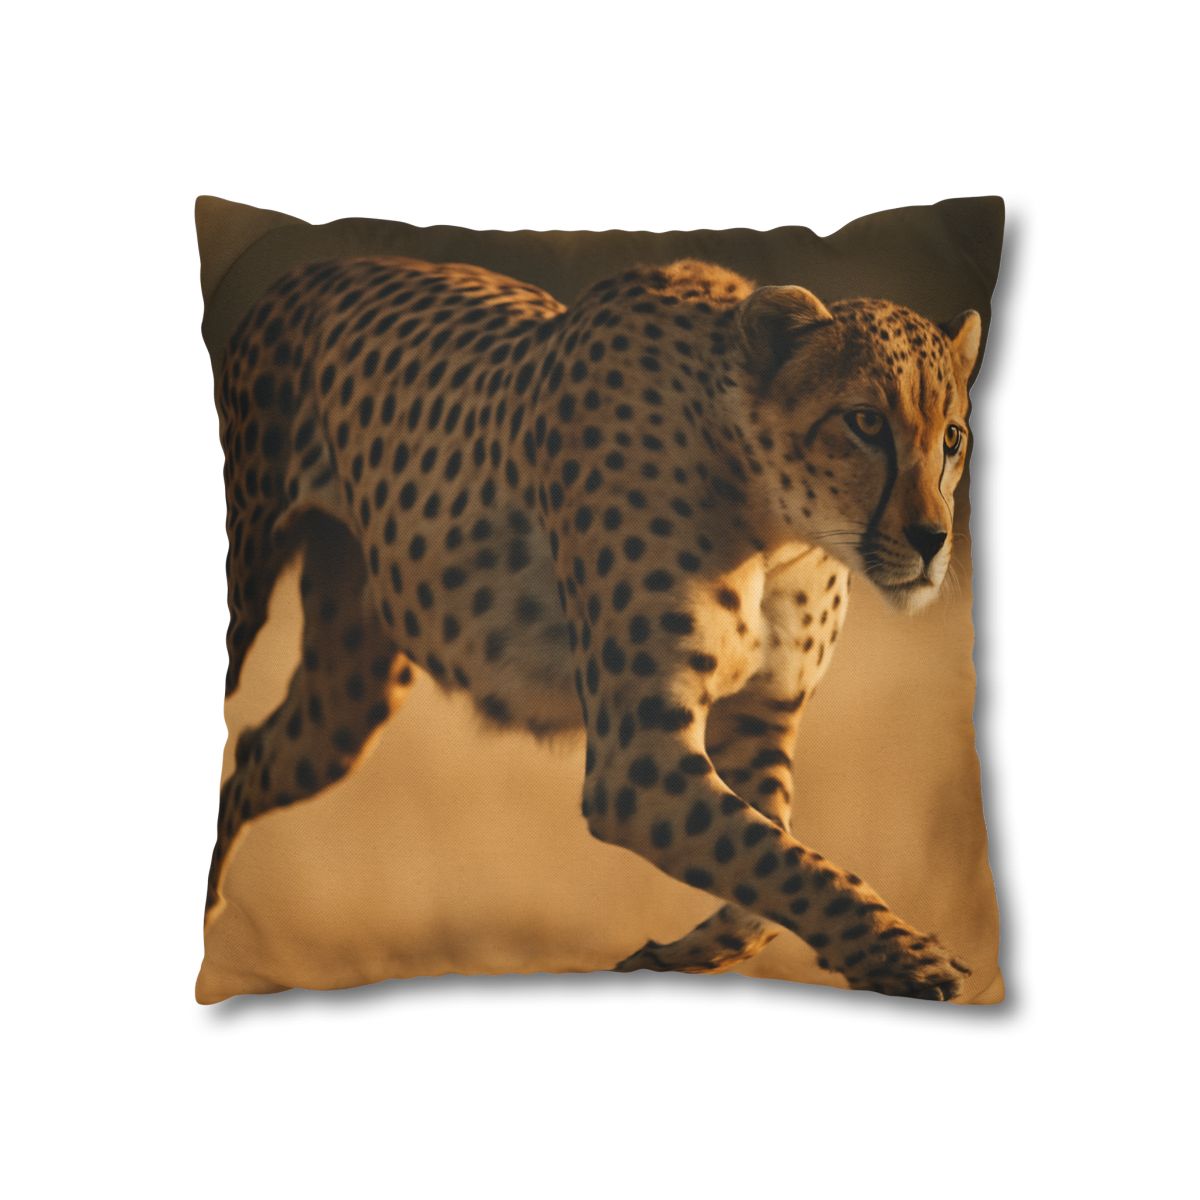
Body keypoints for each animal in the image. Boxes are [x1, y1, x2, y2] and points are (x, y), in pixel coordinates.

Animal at [210, 252, 982, 1000]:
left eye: (951, 438)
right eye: (866, 423)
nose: (932, 540)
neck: (776, 525)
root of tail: (308, 268)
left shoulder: (760, 722)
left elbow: (770, 865)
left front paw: (670, 958)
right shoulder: (635, 761)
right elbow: (776, 858)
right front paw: (904, 956)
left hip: (347, 700)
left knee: (253, 751)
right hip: (246, 594)